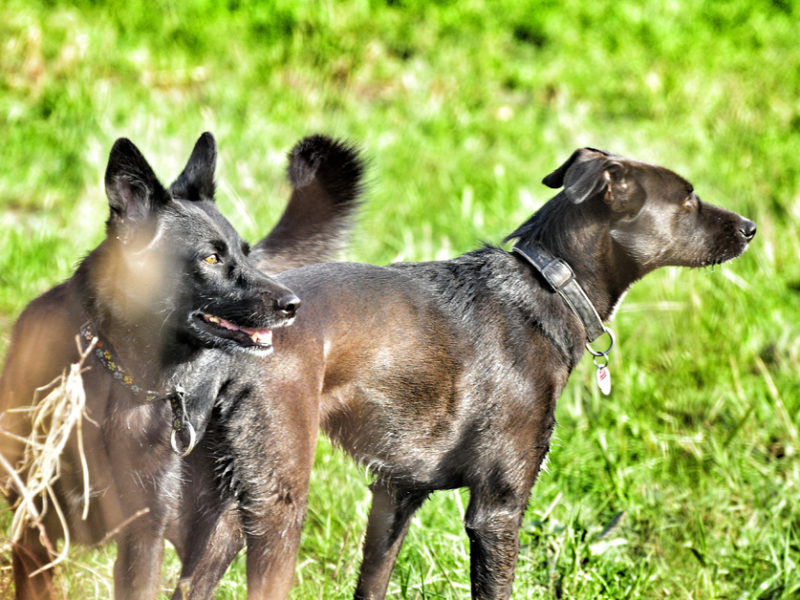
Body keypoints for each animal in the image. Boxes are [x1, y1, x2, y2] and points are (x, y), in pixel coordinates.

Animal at [0, 134, 362, 596]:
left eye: (245, 254)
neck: (117, 374)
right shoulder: (33, 527)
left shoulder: (143, 532)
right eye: (210, 259)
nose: (293, 304)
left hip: (251, 519)